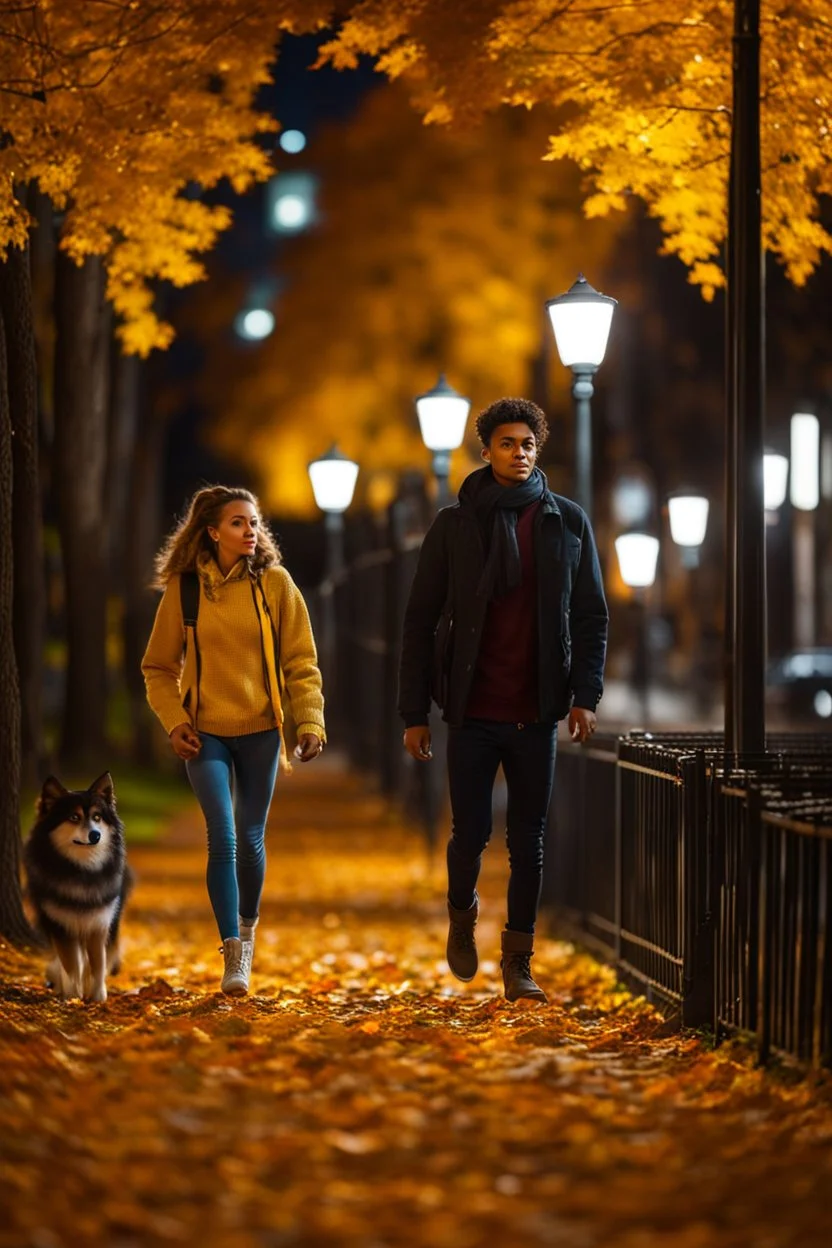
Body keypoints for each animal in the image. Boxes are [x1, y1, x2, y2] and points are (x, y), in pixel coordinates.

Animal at [24, 768, 133, 1003]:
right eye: (74, 817)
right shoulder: (60, 925)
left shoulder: (99, 923)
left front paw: (98, 996)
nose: (95, 835)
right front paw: (72, 996)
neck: (83, 869)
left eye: (97, 817)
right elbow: (70, 963)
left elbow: (98, 963)